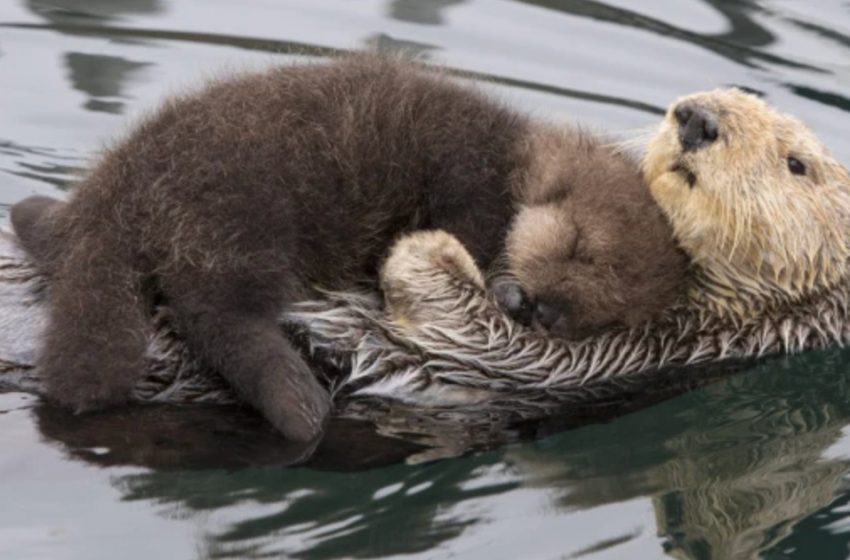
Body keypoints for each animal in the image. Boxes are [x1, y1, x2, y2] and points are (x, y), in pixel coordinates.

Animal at [8, 57, 684, 442]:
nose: (546, 313)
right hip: (239, 220)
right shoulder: (472, 184)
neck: (516, 159)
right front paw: (507, 288)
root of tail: (117, 196)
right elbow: (476, 231)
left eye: (605, 312)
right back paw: (298, 404)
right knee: (218, 315)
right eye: (579, 249)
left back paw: (31, 215)